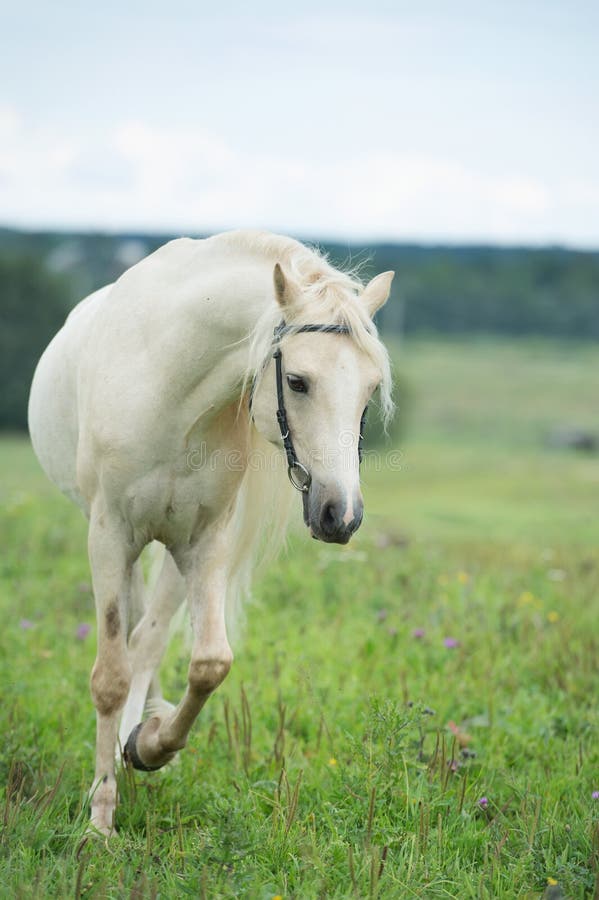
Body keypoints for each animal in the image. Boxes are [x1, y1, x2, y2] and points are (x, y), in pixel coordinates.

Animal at [27, 232, 394, 836]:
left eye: (369, 390)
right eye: (297, 381)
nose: (340, 515)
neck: (171, 389)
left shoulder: (204, 542)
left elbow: (208, 663)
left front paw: (151, 745)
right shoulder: (108, 536)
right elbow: (109, 676)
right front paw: (100, 818)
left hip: (175, 551)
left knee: (147, 638)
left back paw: (141, 737)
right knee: (132, 637)